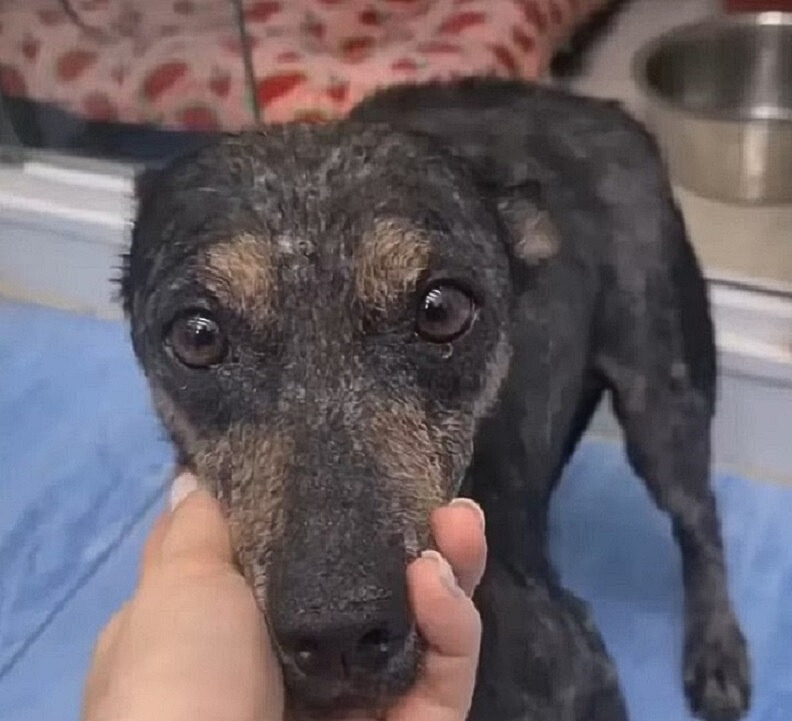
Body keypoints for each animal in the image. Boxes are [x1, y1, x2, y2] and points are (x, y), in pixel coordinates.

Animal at [120, 79, 752, 720]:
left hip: (661, 405)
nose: (340, 632)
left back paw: (718, 652)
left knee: (700, 517)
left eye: (441, 309)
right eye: (197, 336)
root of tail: (598, 105)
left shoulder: (587, 674)